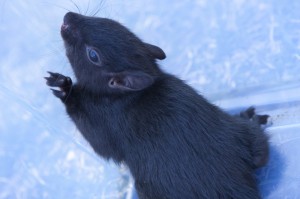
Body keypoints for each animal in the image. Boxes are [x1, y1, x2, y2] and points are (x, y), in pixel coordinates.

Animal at [45, 12, 270, 197]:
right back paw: (251, 117)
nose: (67, 17)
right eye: (109, 21)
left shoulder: (107, 121)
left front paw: (64, 87)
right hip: (246, 137)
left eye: (93, 55)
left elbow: (100, 144)